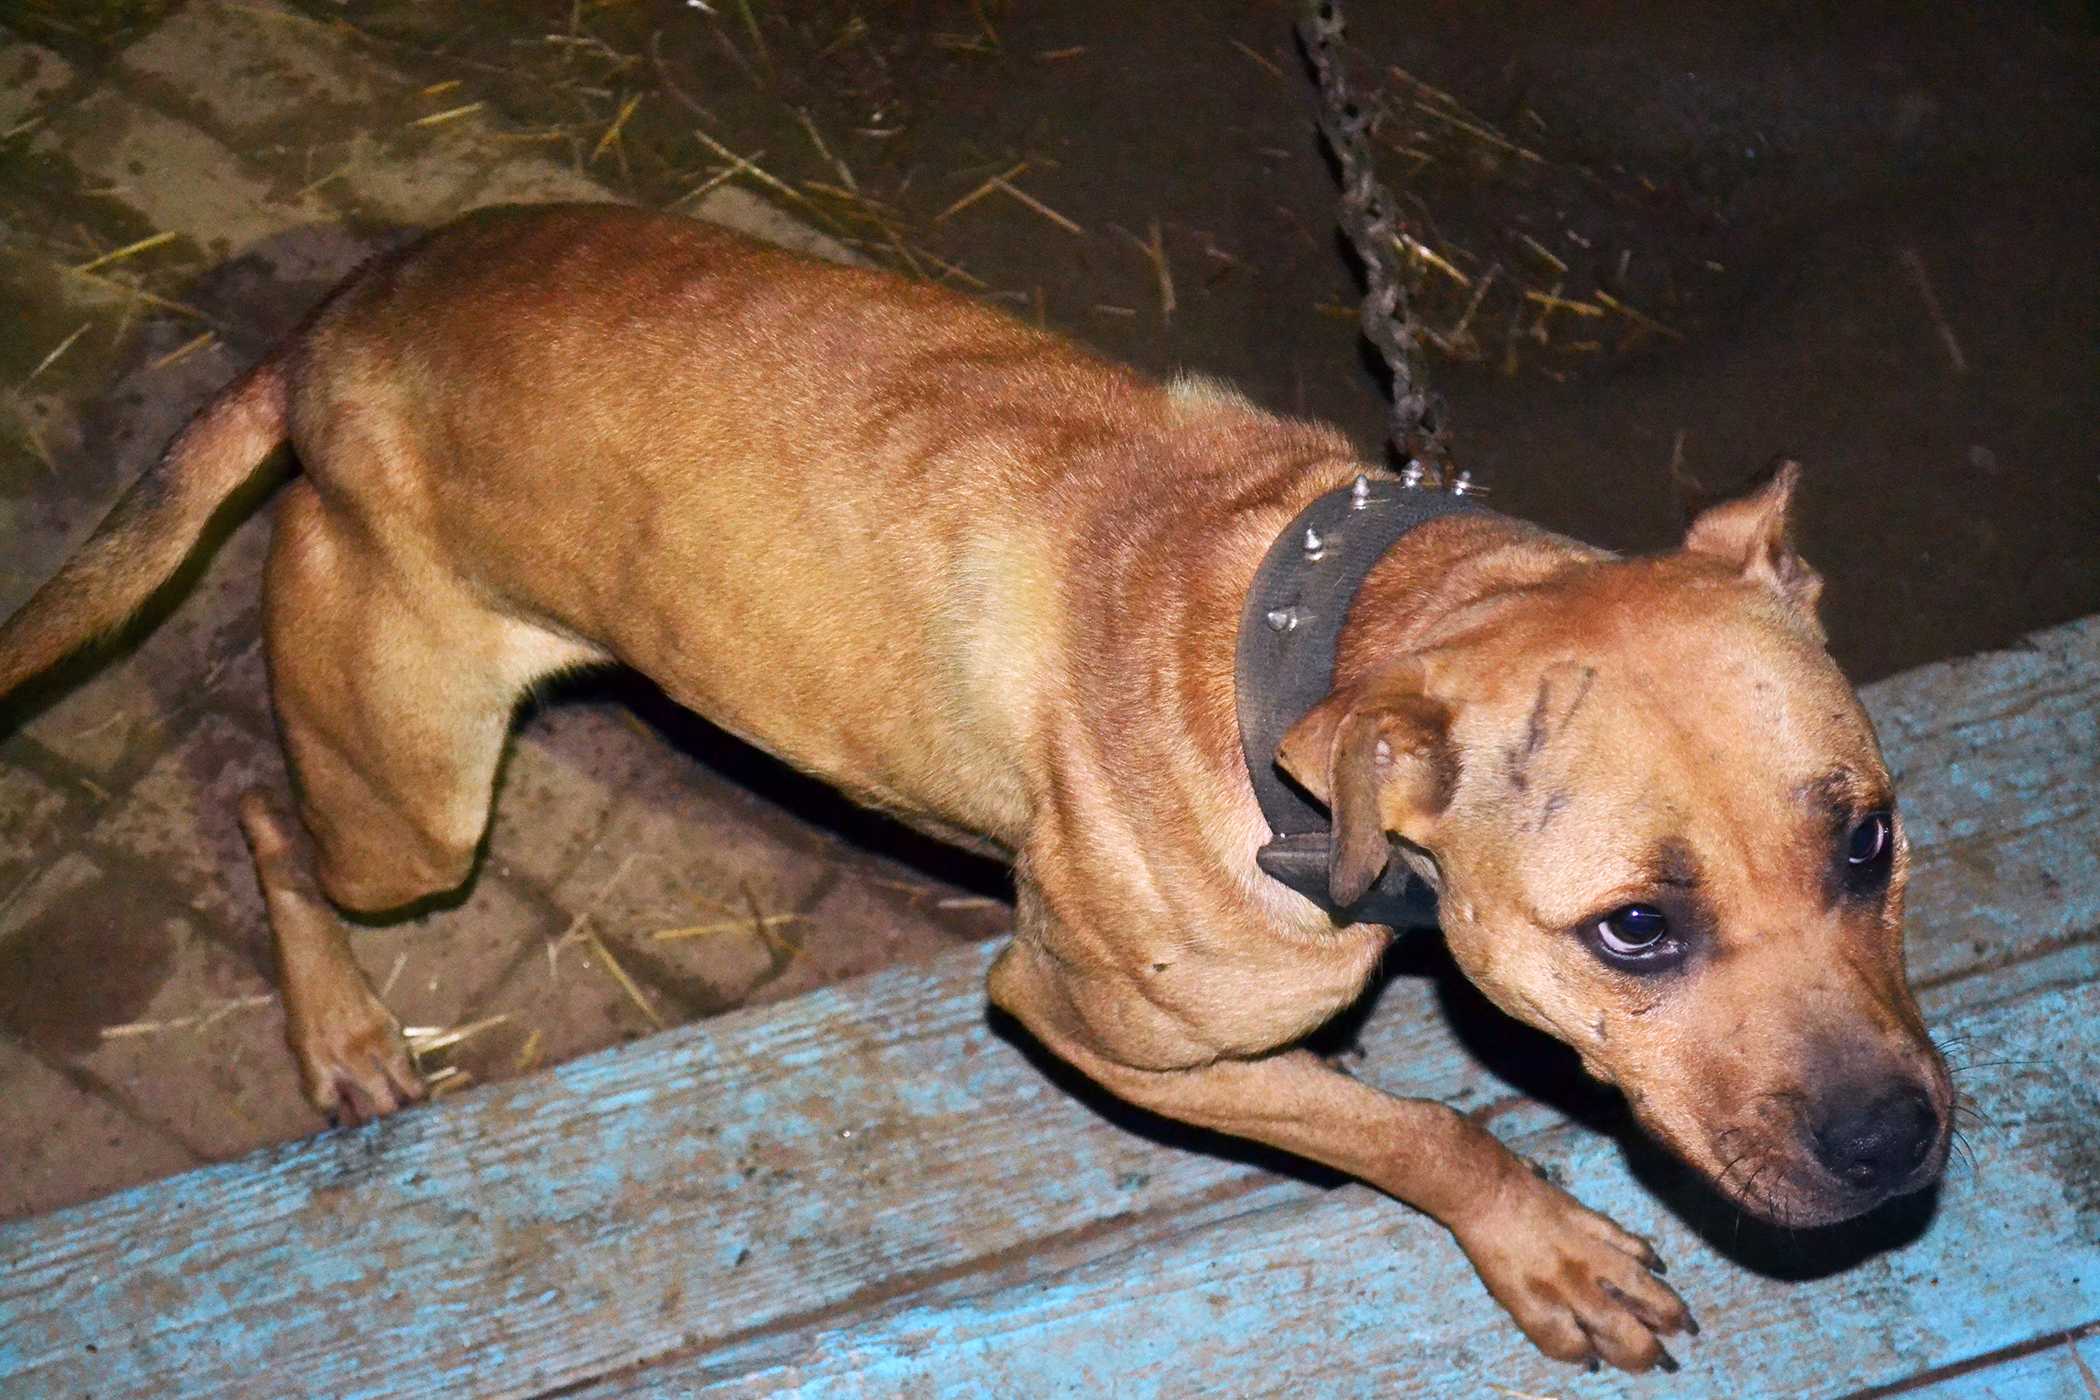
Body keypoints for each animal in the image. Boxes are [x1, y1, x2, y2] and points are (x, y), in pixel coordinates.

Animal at [0, 202, 1948, 1376]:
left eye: (1872, 837)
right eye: (1633, 930)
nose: (1898, 1144)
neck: (1306, 631)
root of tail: (331, 332)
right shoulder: (1096, 1028)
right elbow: (1411, 1127)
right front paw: (1541, 1242)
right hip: (408, 808)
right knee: (263, 815)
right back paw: (339, 1034)